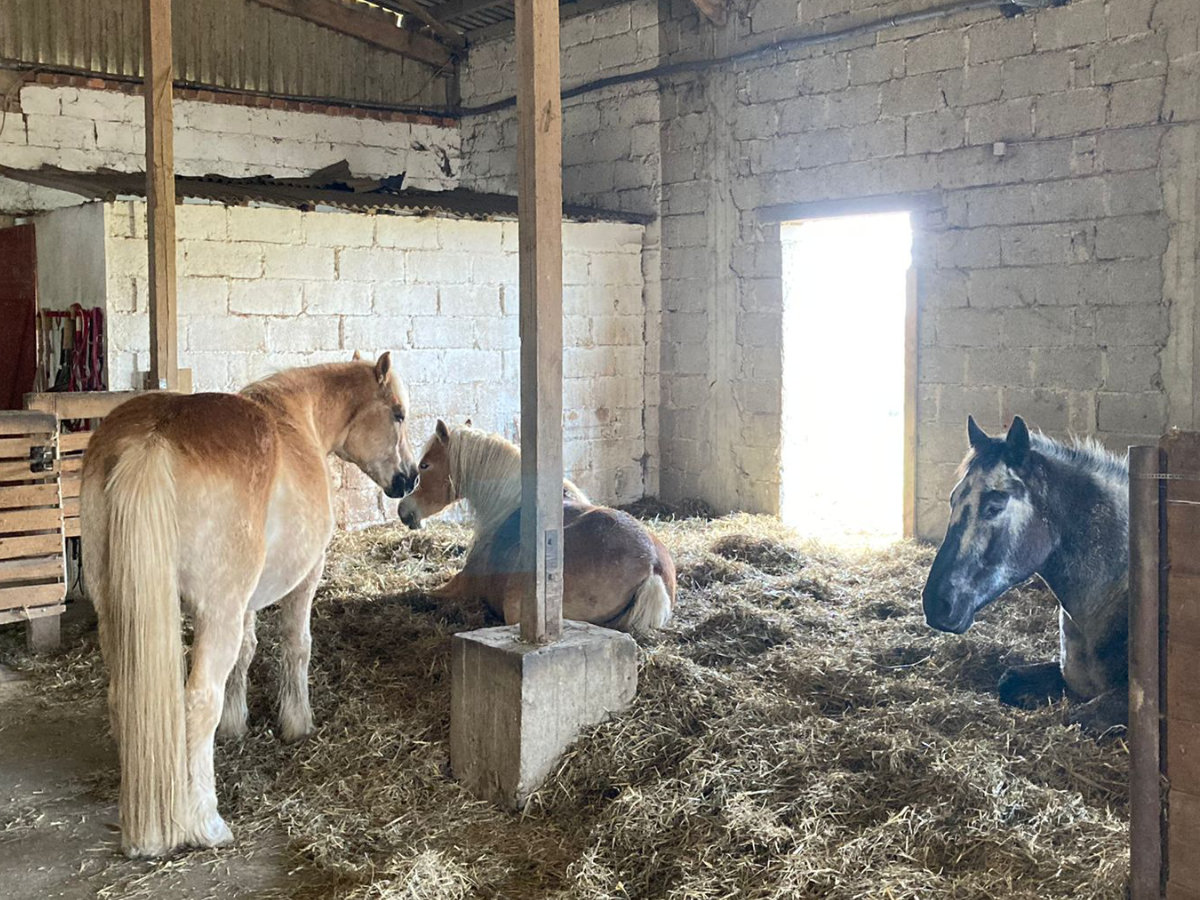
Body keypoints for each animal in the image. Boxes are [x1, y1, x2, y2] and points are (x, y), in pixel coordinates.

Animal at [80, 353, 418, 858]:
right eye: (397, 413)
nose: (409, 478)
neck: (298, 417)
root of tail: (153, 439)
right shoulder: (304, 577)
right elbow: (295, 646)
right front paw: (297, 722)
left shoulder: (246, 600)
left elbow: (246, 653)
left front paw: (235, 724)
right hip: (213, 613)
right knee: (198, 700)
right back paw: (206, 823)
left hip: (115, 609)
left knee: (124, 693)